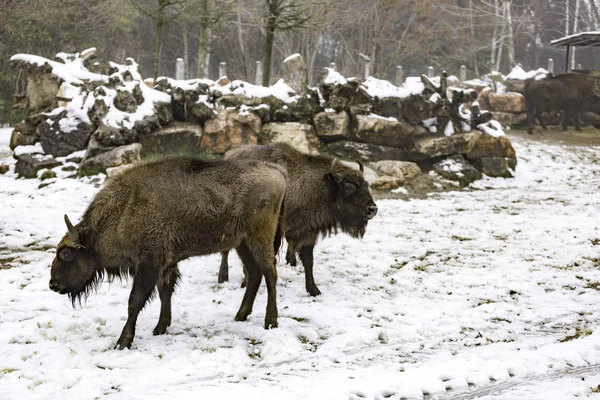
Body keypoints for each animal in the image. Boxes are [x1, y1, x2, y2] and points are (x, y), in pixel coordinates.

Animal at [48, 157, 288, 350]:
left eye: (67, 254)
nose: (53, 285)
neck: (125, 210)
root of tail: (277, 171)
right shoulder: (165, 265)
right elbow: (165, 292)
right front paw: (160, 327)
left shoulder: (149, 265)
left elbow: (135, 301)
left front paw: (123, 341)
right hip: (242, 243)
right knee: (255, 273)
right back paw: (240, 315)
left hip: (259, 238)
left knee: (270, 272)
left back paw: (270, 321)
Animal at [218, 142, 378, 296]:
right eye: (349, 187)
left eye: (366, 184)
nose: (372, 209)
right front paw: (247, 283)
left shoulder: (307, 231)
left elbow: (308, 260)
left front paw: (314, 290)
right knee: (225, 251)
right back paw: (223, 277)